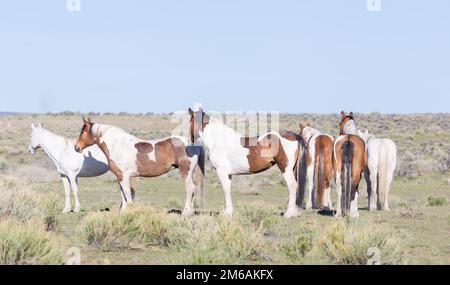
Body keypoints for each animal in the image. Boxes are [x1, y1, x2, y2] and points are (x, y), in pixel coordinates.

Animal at [74, 116, 205, 216]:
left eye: (82, 132)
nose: (76, 147)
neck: (117, 144)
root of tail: (192, 142)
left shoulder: (123, 176)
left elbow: (127, 194)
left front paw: (129, 210)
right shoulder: (120, 176)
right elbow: (123, 194)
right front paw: (123, 211)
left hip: (185, 171)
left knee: (190, 189)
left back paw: (186, 212)